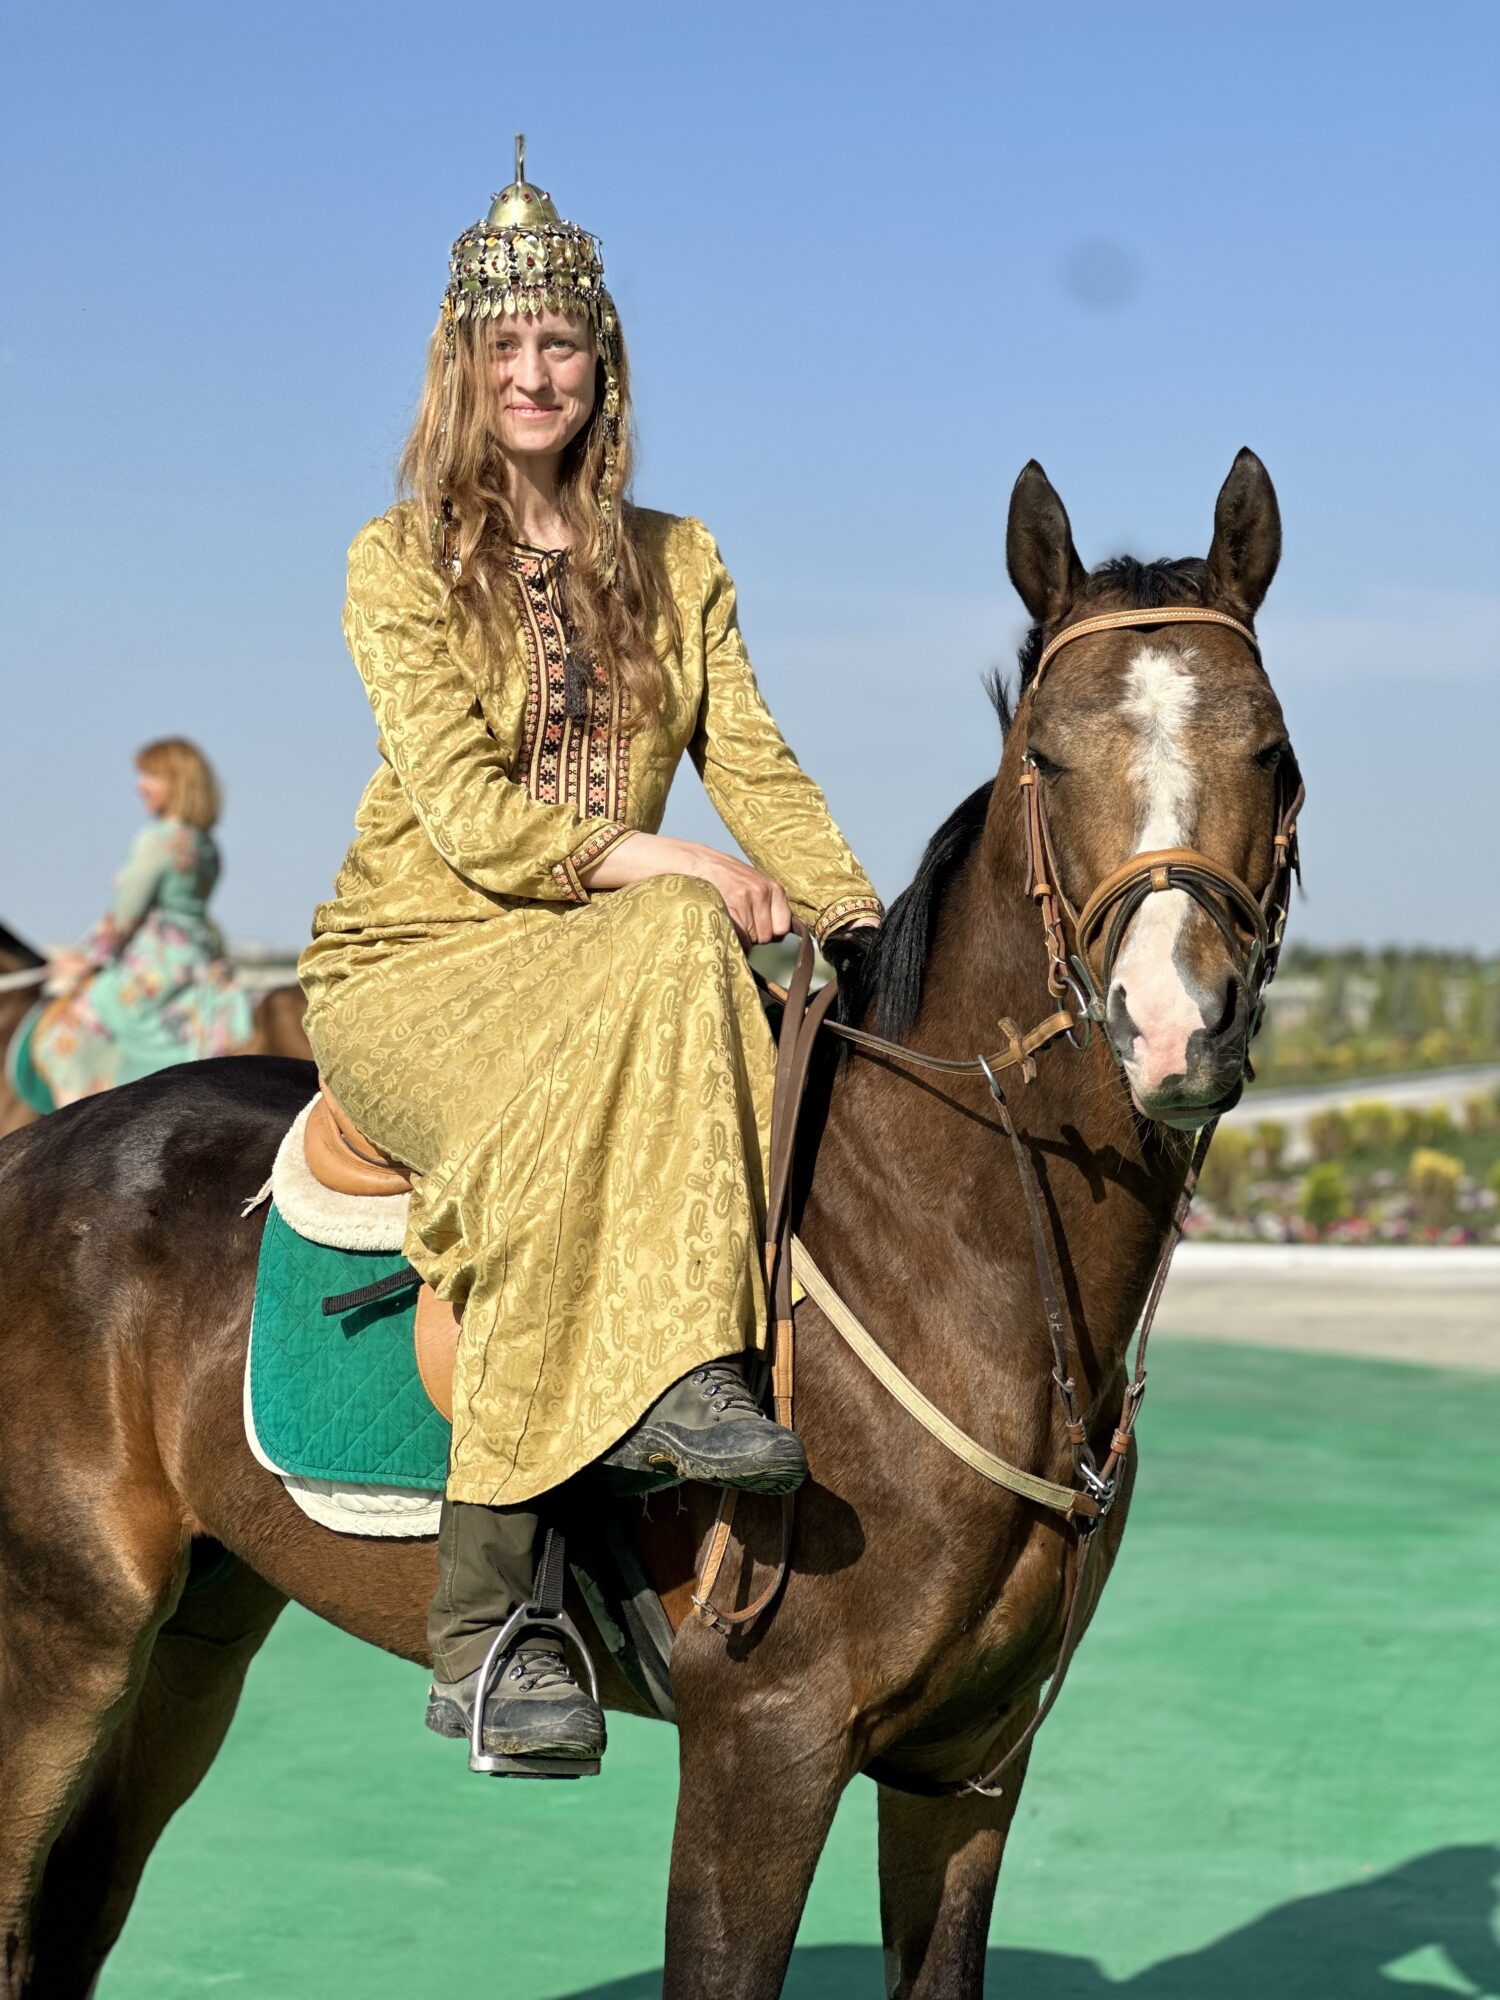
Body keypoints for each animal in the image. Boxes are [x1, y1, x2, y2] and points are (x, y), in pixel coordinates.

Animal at [0, 451, 1299, 2000]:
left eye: (1274, 753)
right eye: (1045, 756)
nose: (1173, 1026)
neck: (954, 1265)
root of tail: (34, 1150)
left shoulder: (970, 1767)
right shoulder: (767, 1744)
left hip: (202, 1621)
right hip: (60, 1638)